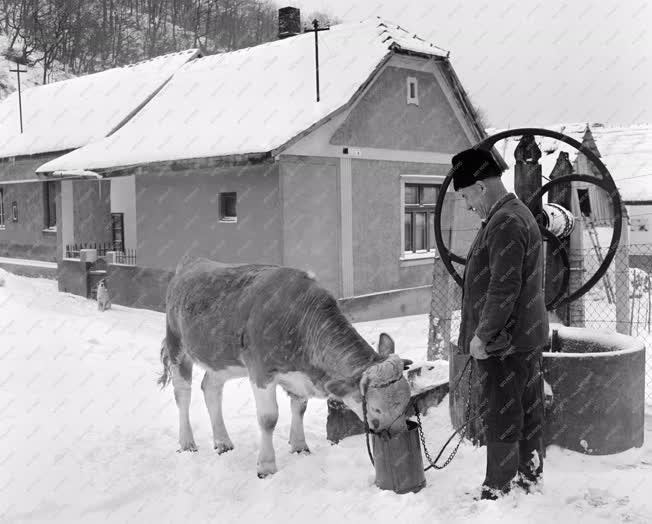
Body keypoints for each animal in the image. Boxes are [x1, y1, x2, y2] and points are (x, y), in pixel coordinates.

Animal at [159, 256, 412, 476]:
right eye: (376, 409)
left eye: (406, 401)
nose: (399, 436)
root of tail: (192, 261)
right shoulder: (261, 371)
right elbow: (268, 419)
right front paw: (266, 466)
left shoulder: (299, 374)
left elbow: (299, 408)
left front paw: (300, 447)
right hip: (177, 346)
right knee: (183, 394)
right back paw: (187, 443)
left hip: (221, 361)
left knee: (210, 388)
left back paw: (222, 442)